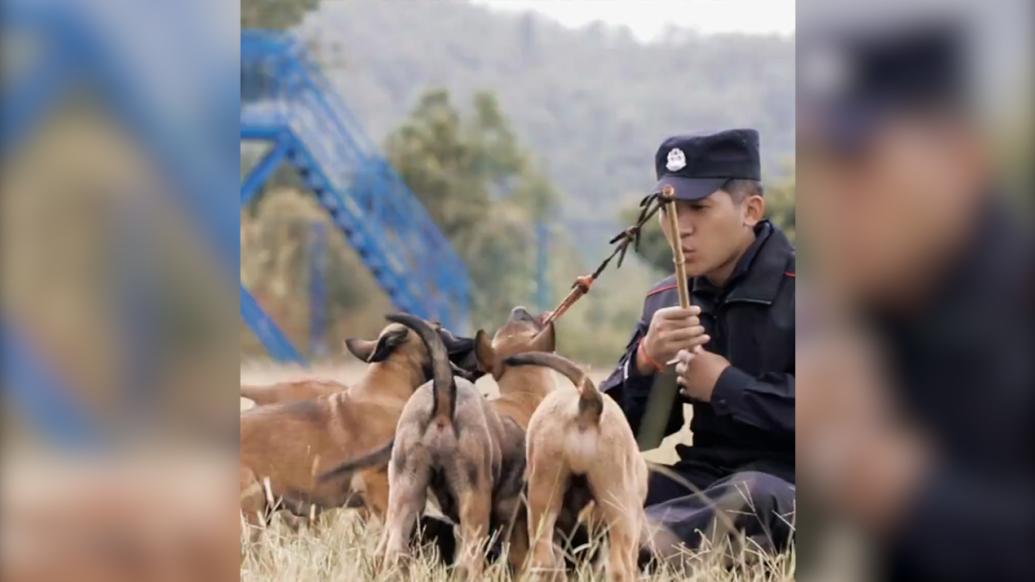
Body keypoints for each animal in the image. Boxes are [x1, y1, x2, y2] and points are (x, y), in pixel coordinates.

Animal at [322, 308, 558, 575]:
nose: (519, 311)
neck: (523, 394)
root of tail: (444, 402)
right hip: (473, 506)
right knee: (470, 562)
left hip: (405, 499)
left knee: (391, 553)